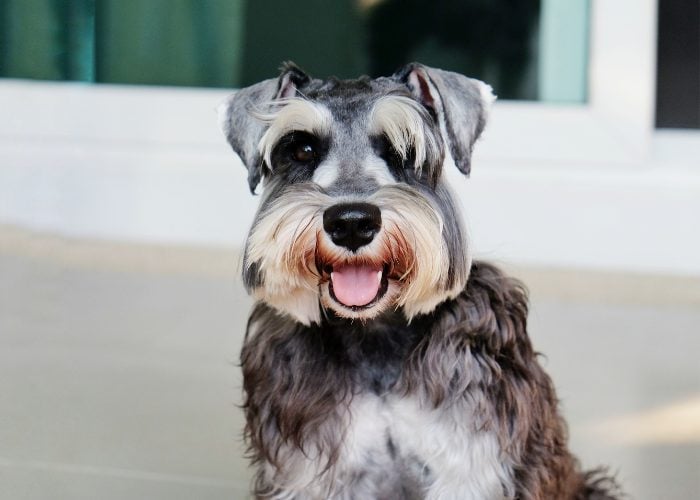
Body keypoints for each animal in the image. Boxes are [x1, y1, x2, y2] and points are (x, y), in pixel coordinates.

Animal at [217, 62, 616, 500]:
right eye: (302, 149)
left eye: (403, 150)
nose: (351, 222)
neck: (374, 333)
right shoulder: (310, 475)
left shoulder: (474, 467)